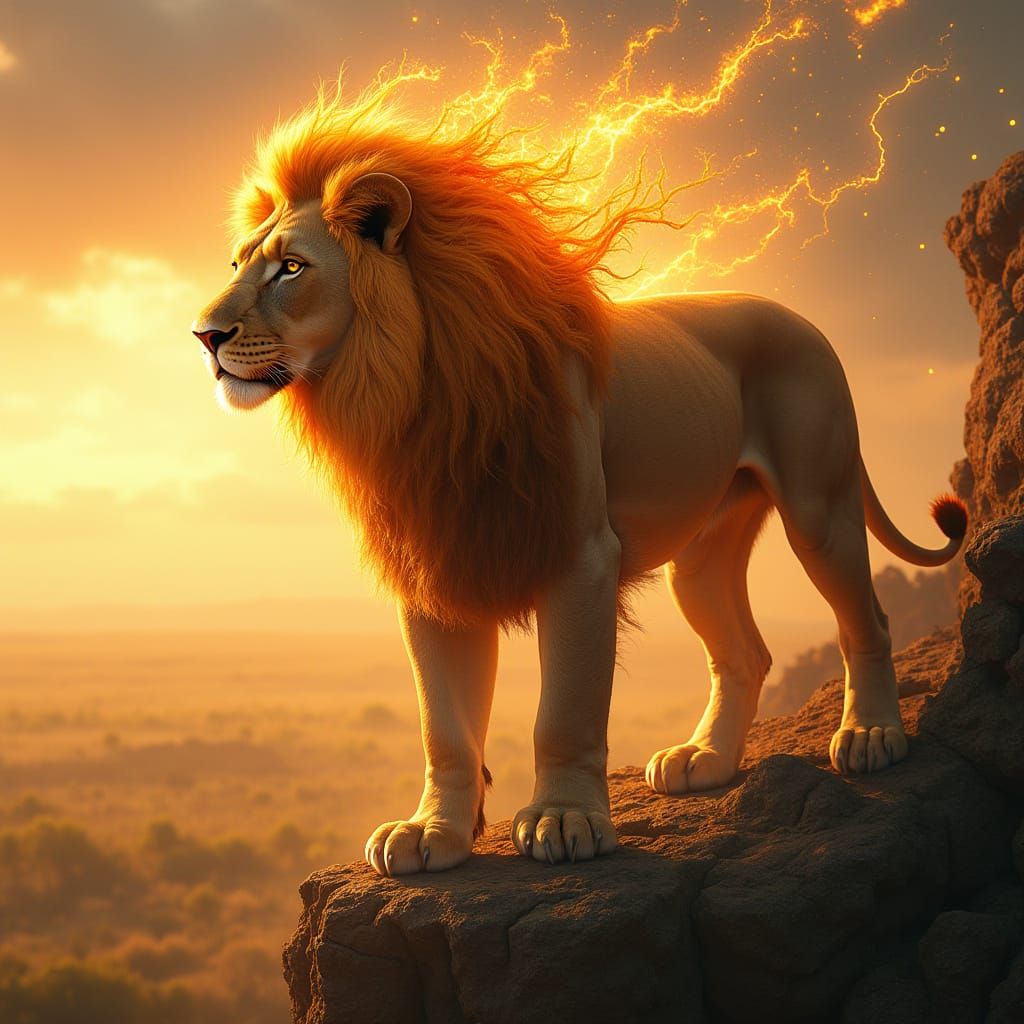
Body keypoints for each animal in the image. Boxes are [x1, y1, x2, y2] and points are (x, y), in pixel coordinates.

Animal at [192, 81, 967, 875]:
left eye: (291, 269)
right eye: (238, 263)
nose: (204, 335)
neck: (409, 394)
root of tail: (802, 318)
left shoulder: (580, 554)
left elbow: (563, 709)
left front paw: (564, 820)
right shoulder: (436, 558)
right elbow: (445, 725)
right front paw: (431, 832)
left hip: (819, 505)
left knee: (866, 619)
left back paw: (872, 738)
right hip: (703, 555)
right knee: (744, 652)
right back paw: (704, 760)